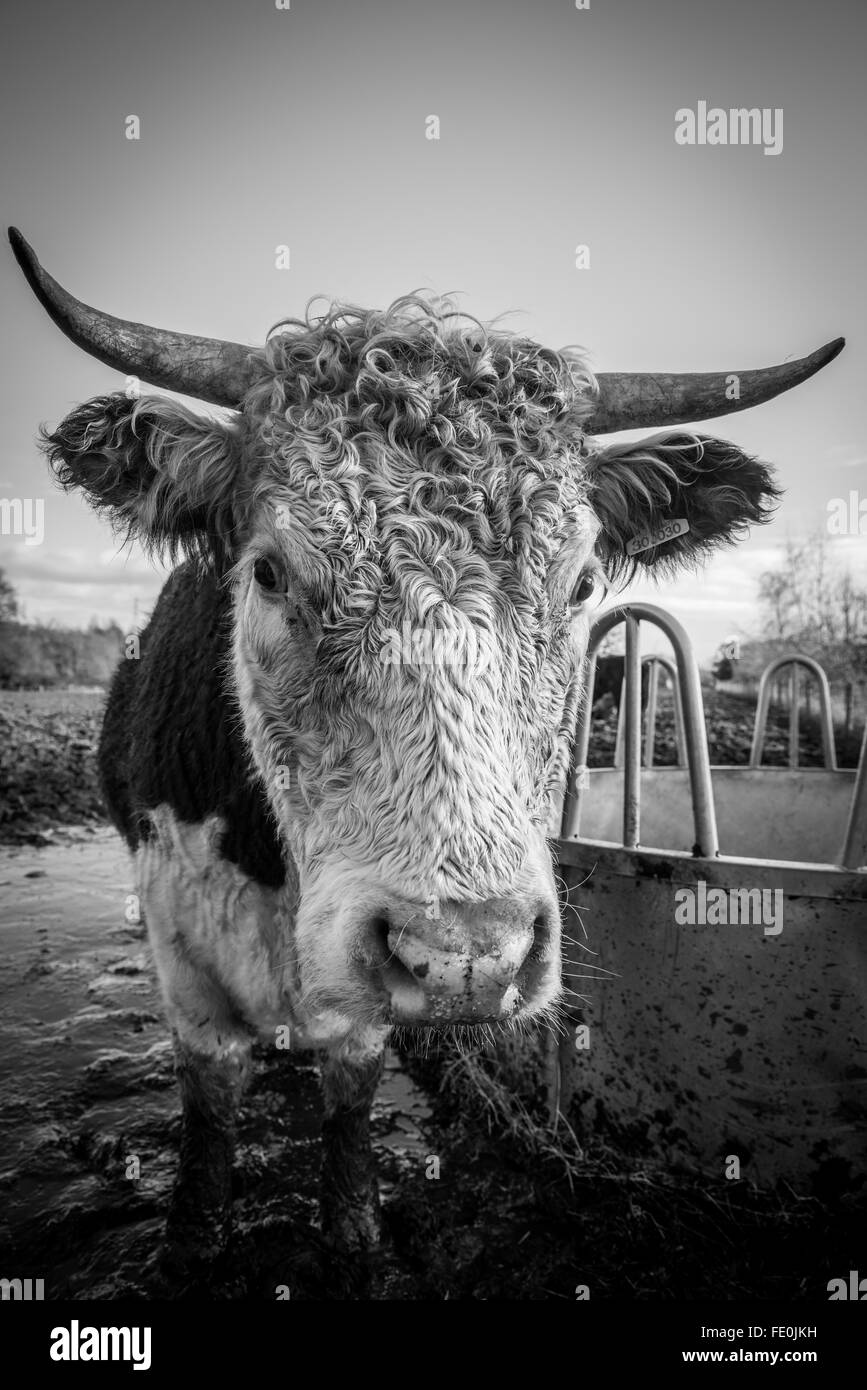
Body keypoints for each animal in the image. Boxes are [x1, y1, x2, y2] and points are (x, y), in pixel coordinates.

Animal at [8, 230, 844, 1278]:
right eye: (268, 570)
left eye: (582, 582)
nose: (461, 957)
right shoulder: (183, 969)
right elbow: (208, 1127)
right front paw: (194, 1240)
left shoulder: (361, 1025)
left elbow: (350, 1114)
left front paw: (354, 1237)